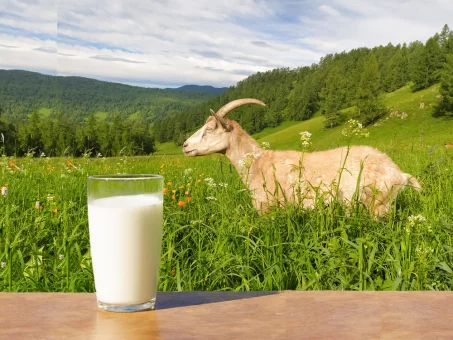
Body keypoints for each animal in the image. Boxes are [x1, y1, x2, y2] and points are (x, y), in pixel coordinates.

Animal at [182, 98, 422, 216]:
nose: (185, 146)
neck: (258, 162)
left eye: (210, 129)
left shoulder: (268, 208)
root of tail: (400, 174)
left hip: (377, 204)